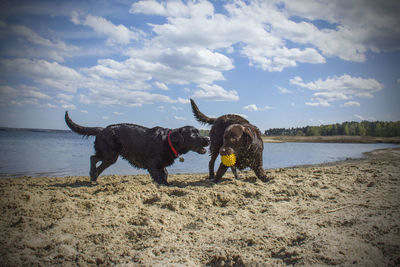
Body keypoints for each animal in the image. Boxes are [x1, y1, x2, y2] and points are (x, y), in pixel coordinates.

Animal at [65, 111, 209, 186]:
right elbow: (160, 177)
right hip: (110, 154)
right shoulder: (152, 164)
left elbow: (165, 173)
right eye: (193, 134)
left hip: (111, 157)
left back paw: (94, 178)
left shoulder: (160, 164)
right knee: (93, 158)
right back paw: (92, 175)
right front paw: (165, 185)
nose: (208, 139)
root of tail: (102, 129)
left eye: (198, 131)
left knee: (97, 163)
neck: (167, 141)